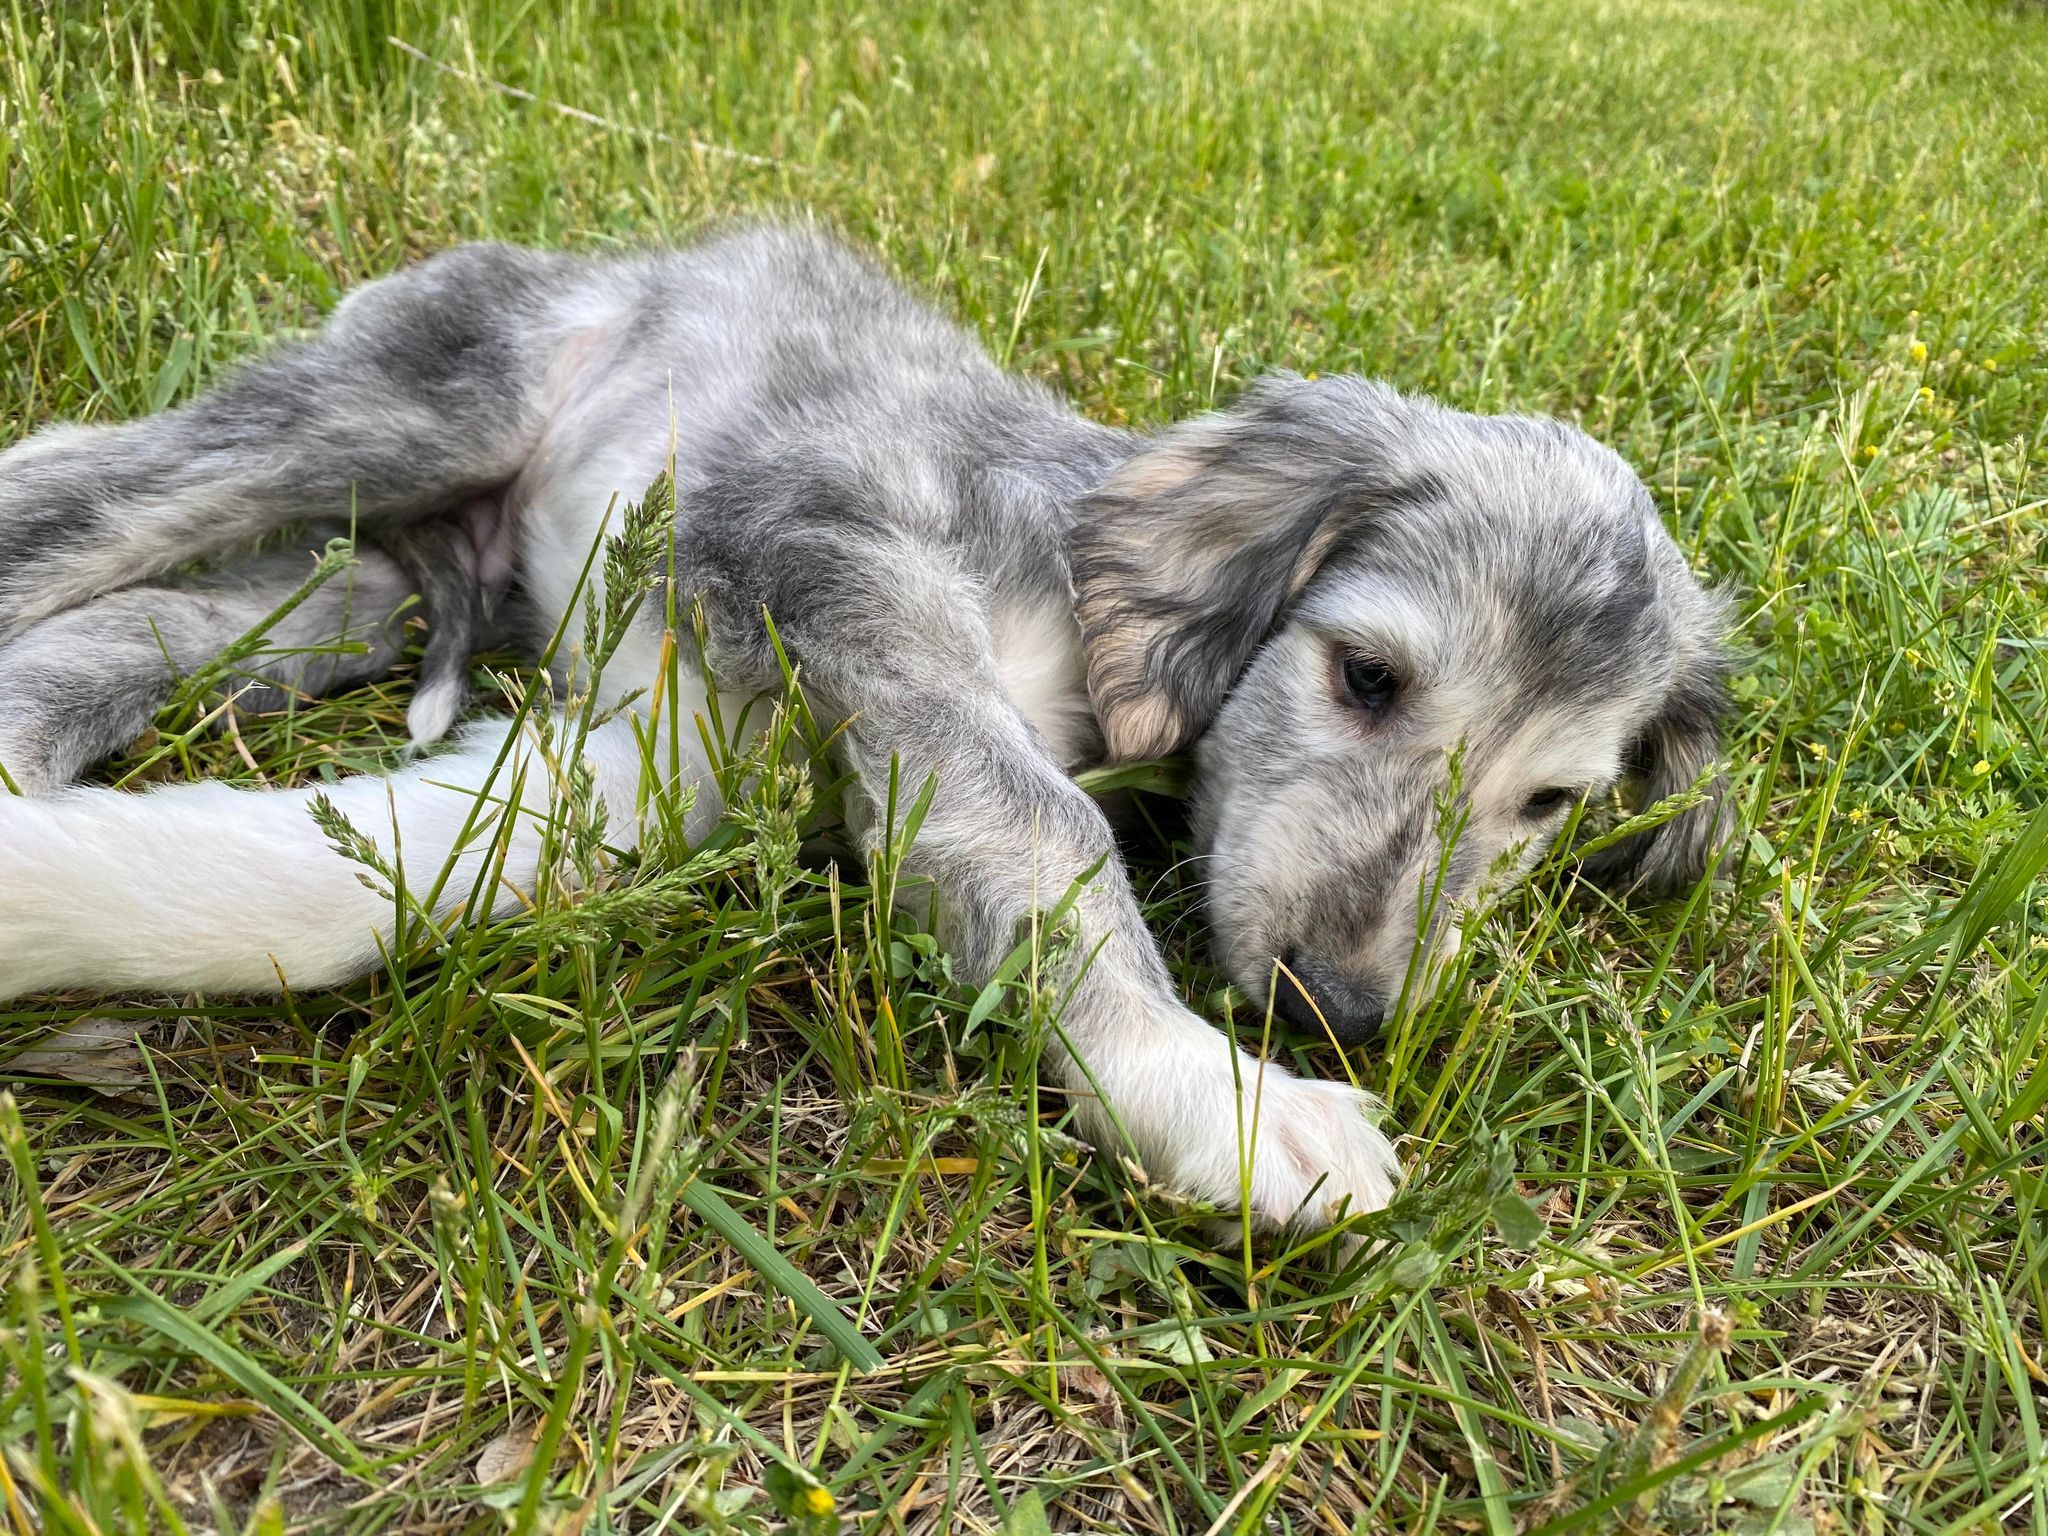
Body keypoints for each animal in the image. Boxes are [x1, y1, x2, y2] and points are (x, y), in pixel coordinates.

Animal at [0, 228, 1728, 1236]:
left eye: (1550, 806)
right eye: (1366, 676)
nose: (1344, 1014)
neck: (1077, 574)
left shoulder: (656, 757)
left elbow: (328, 882)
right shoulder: (829, 545)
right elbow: (1037, 820)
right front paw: (1210, 1092)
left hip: (358, 583)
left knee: (157, 622)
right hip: (401, 413)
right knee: (75, 483)